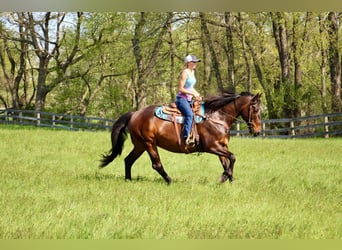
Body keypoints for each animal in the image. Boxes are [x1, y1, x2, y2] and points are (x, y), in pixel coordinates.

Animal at [99, 91, 262, 184]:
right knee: (156, 165)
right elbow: (232, 158)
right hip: (149, 144)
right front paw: (224, 178)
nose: (258, 131)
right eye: (255, 109)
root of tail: (135, 114)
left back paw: (128, 180)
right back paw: (170, 181)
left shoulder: (221, 147)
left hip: (140, 145)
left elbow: (227, 162)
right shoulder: (212, 147)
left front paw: (230, 180)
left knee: (128, 160)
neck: (217, 117)